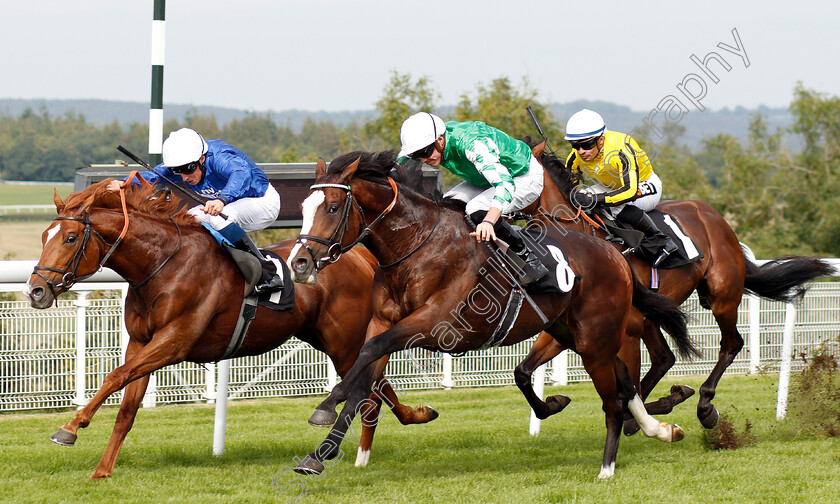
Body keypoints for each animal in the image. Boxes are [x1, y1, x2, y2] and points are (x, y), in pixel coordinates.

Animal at [23, 179, 436, 478]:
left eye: (71, 238)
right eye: (43, 236)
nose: (35, 290)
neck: (161, 264)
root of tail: (361, 256)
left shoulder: (173, 341)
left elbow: (114, 377)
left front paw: (70, 428)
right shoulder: (140, 343)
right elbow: (126, 406)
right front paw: (103, 470)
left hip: (344, 342)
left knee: (371, 389)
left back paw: (366, 445)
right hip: (325, 339)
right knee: (376, 387)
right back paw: (406, 423)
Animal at [286, 151, 692, 480]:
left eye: (333, 207)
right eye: (303, 207)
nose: (299, 263)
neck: (417, 246)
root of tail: (615, 254)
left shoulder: (434, 324)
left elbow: (369, 357)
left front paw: (326, 405)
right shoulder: (382, 321)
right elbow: (365, 377)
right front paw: (319, 454)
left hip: (594, 338)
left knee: (613, 400)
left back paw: (607, 467)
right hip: (571, 333)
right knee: (624, 380)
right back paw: (659, 429)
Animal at [520, 145, 836, 430]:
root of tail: (713, 215)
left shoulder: (624, 330)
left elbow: (630, 393)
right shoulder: (571, 328)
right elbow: (524, 371)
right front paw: (552, 403)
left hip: (721, 297)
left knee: (730, 344)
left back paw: (704, 406)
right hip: (655, 316)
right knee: (664, 358)